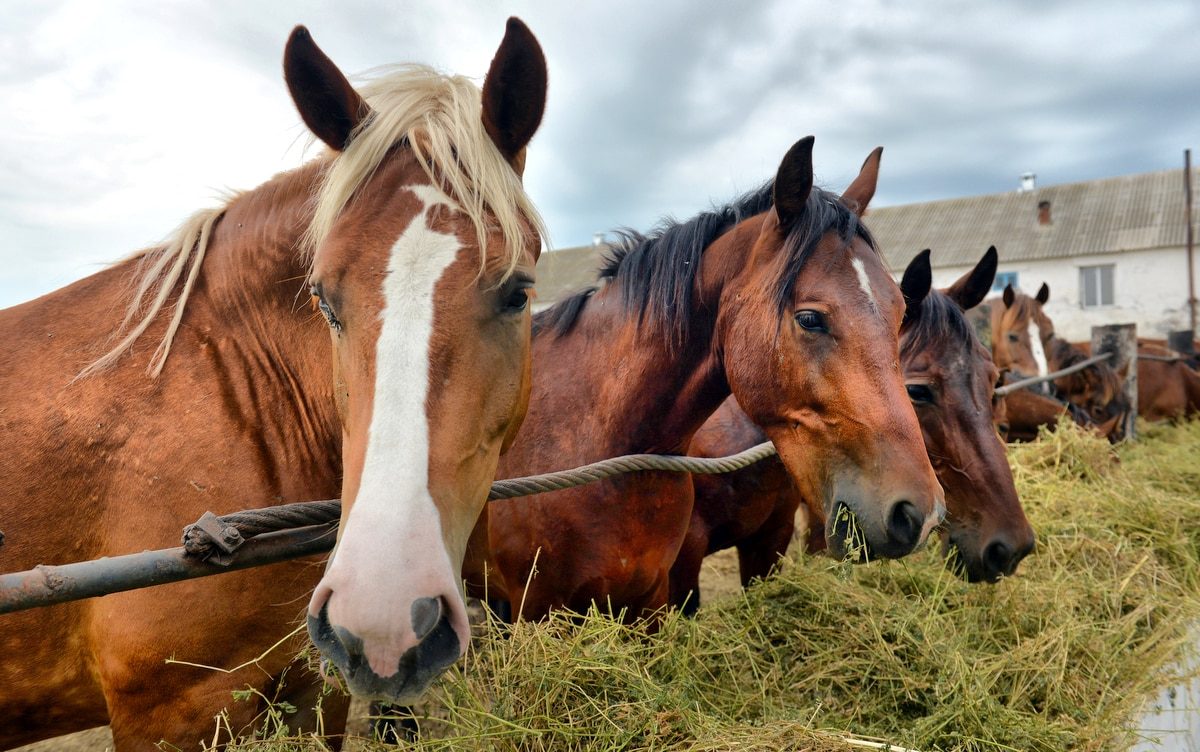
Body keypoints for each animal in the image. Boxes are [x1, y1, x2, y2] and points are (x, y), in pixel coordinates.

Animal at [1, 20, 549, 748]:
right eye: (324, 299)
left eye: (518, 292)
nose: (384, 621)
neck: (233, 391)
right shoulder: (170, 713)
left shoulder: (317, 687)